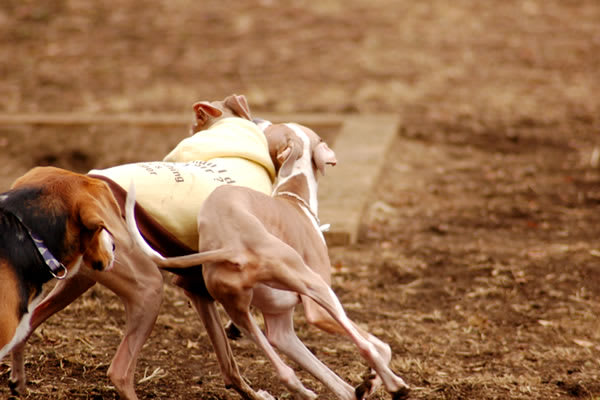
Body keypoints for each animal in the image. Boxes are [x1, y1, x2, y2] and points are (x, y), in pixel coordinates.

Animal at [124, 123, 410, 398]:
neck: (293, 195)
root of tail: (232, 246)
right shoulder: (317, 309)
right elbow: (381, 346)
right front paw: (373, 380)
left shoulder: (281, 329)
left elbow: (336, 382)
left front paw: (364, 386)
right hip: (314, 286)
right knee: (367, 346)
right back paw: (396, 385)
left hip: (238, 310)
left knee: (284, 372)